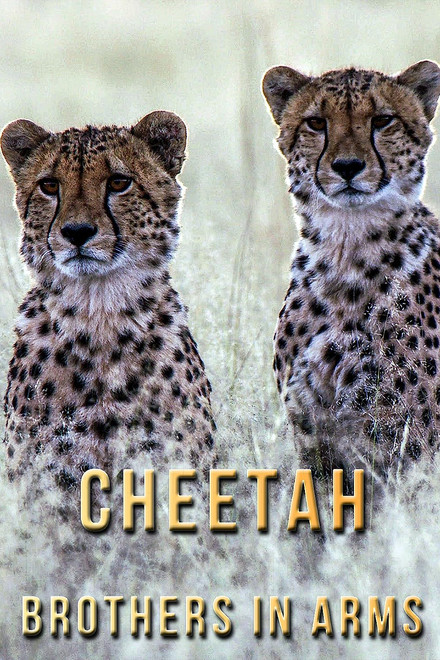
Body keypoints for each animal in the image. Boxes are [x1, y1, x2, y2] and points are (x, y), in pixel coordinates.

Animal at [262, 60, 440, 485]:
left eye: (383, 120)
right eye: (315, 123)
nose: (347, 167)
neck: (345, 248)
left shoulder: (409, 446)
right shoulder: (313, 435)